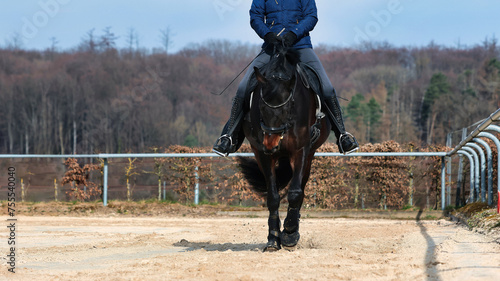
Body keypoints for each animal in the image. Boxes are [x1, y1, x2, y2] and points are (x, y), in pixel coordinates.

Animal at [239, 47, 332, 250]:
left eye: (287, 107)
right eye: (261, 107)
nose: (271, 144)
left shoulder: (301, 150)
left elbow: (295, 192)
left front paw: (289, 233)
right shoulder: (263, 154)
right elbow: (273, 197)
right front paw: (273, 238)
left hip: (308, 156)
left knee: (300, 189)